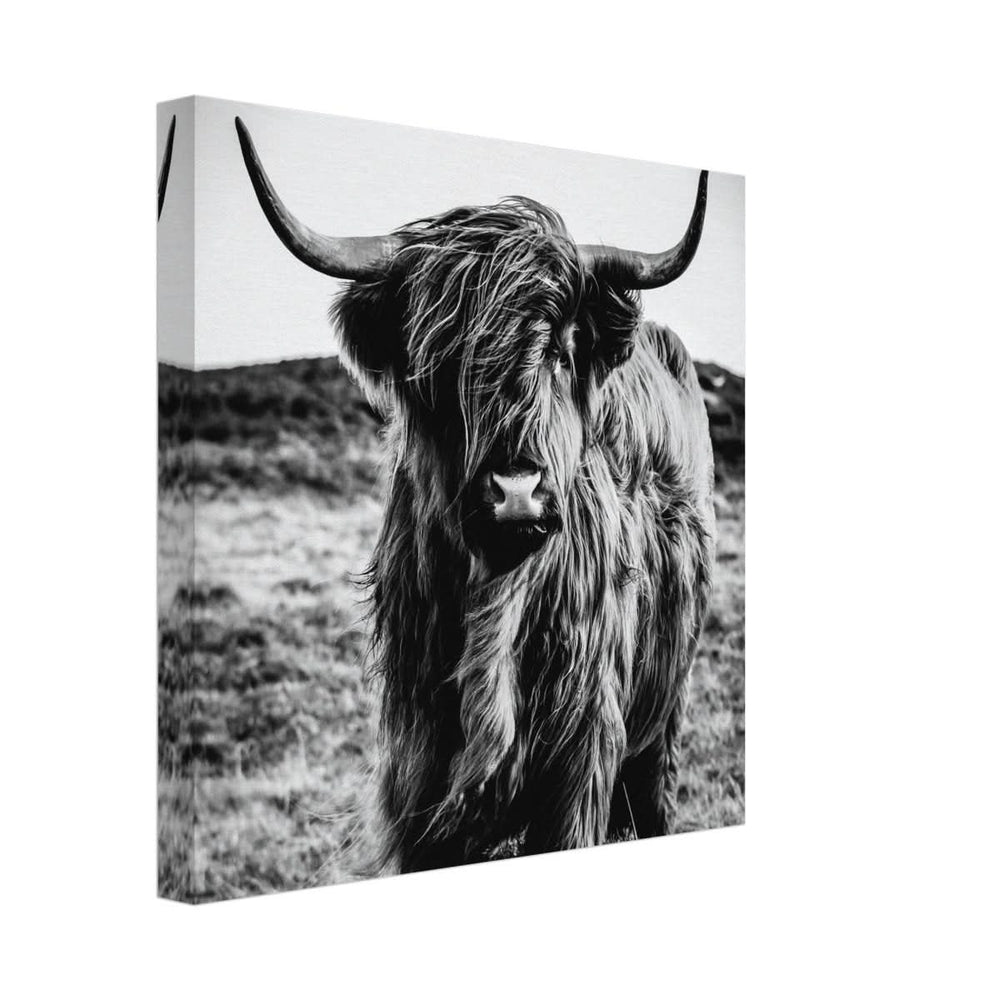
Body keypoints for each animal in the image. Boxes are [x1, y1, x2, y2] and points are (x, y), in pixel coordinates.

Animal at [235, 117, 716, 873]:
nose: (516, 491)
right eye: (439, 358)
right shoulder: (418, 769)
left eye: (560, 349)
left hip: (663, 716)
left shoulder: (579, 760)